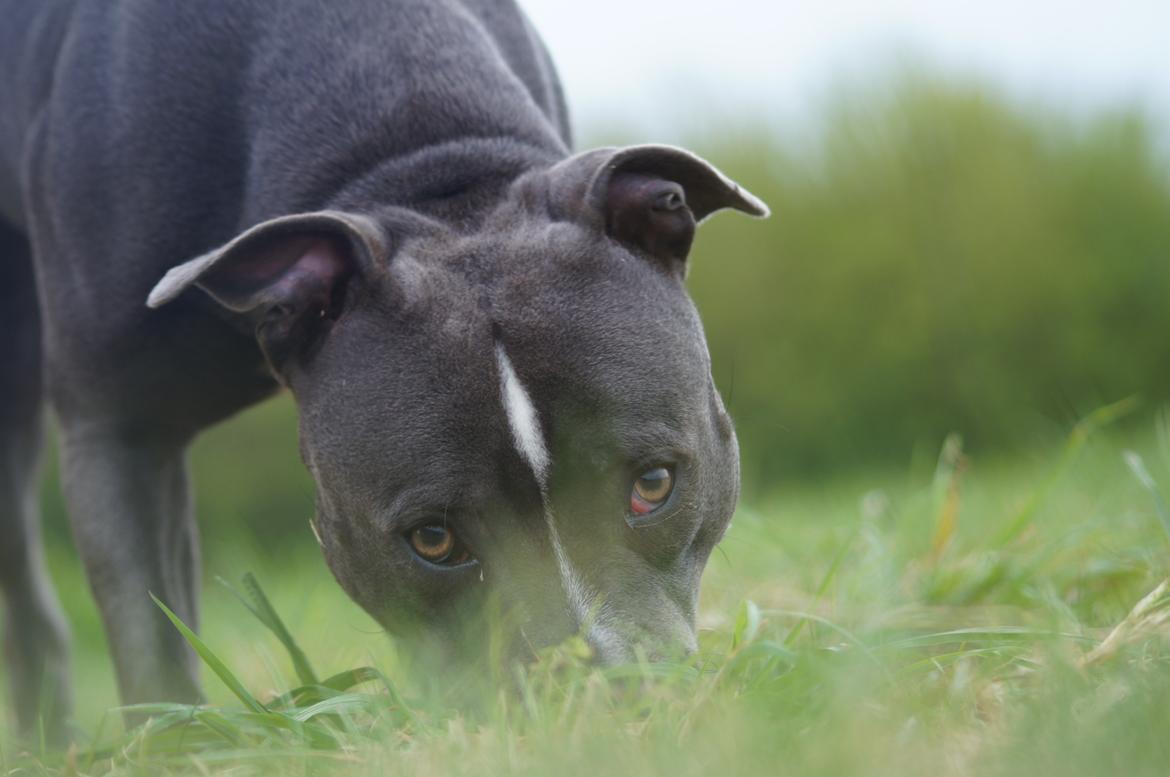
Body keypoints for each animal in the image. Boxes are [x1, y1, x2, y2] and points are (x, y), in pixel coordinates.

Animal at [0, 0, 772, 739]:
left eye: (654, 485)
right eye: (432, 539)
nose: (601, 709)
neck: (422, 168)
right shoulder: (118, 426)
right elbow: (149, 635)